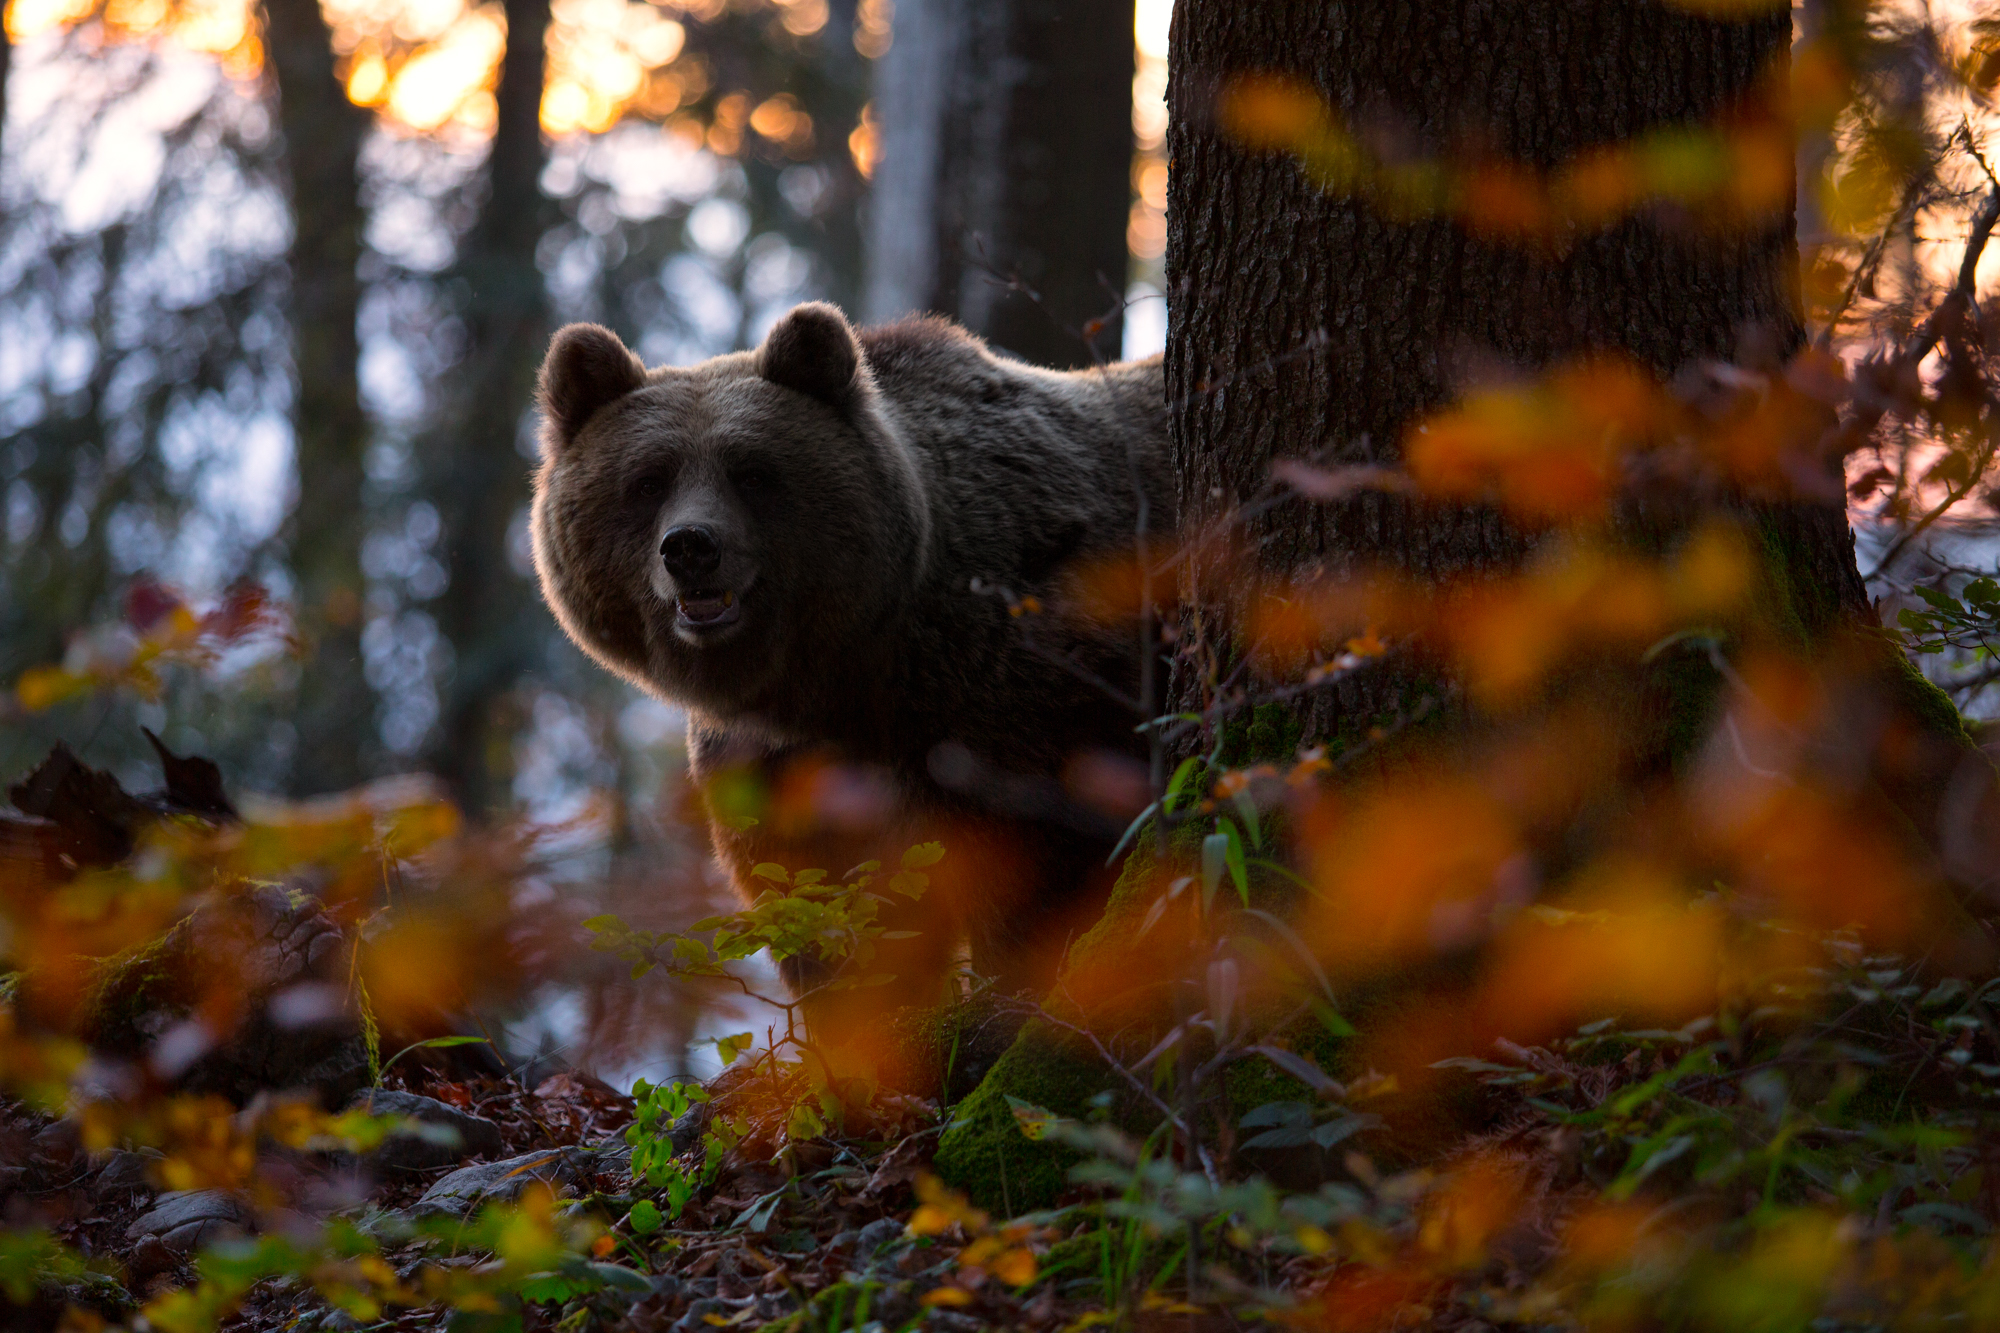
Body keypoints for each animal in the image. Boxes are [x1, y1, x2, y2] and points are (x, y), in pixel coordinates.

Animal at [532, 300, 1168, 1048]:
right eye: (649, 478)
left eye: (752, 471)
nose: (690, 546)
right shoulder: (774, 768)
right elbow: (824, 917)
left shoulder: (1018, 703)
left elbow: (1036, 879)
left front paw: (1004, 1008)